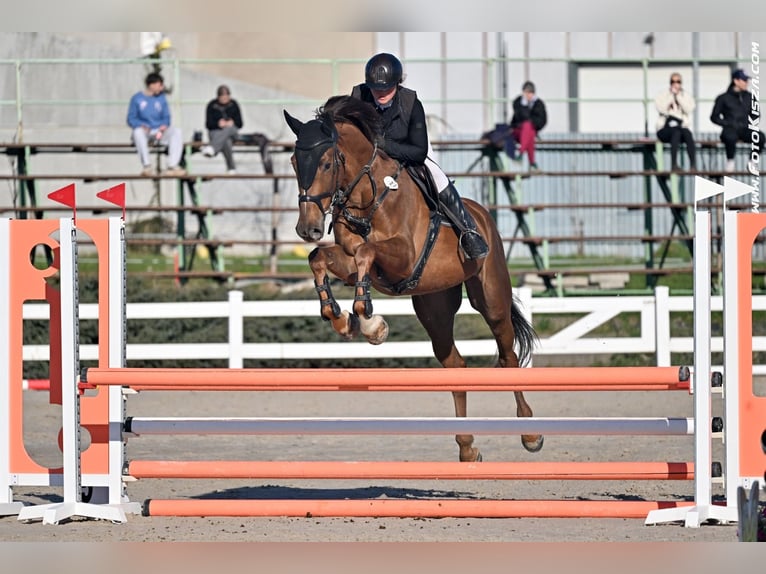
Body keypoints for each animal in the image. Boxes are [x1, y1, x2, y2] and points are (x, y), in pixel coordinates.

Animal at [283, 95, 543, 462]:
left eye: (326, 164)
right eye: (294, 161)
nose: (308, 229)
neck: (368, 196)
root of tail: (481, 214)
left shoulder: (403, 257)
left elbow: (366, 253)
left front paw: (367, 319)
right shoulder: (352, 259)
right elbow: (321, 258)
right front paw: (343, 318)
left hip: (491, 298)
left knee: (508, 356)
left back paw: (530, 433)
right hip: (434, 306)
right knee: (455, 364)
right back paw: (467, 446)